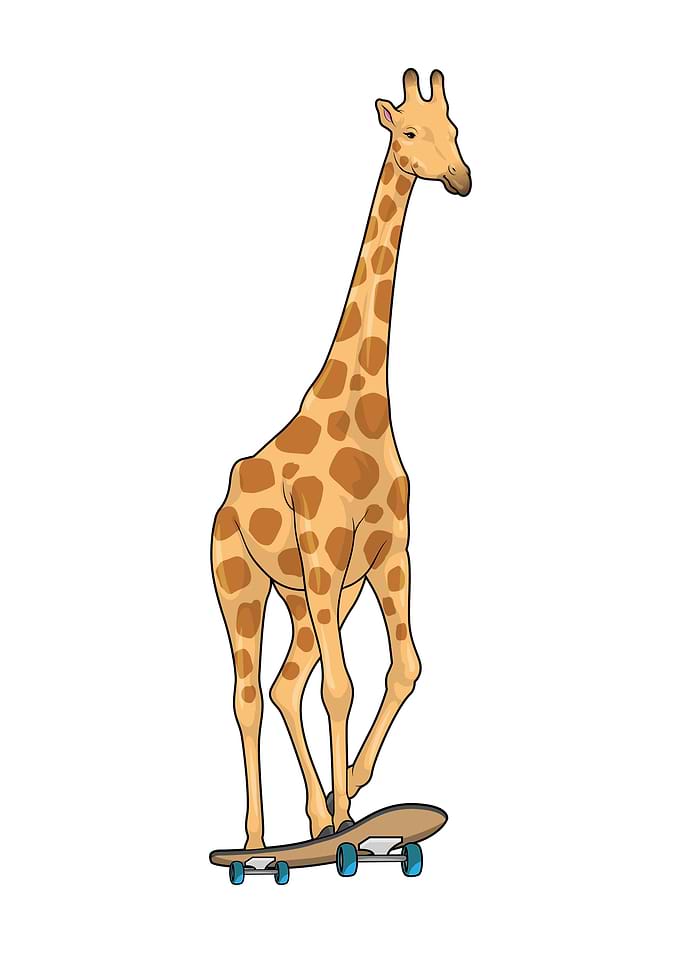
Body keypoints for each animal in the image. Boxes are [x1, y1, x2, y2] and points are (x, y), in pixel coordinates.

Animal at [212, 68, 471, 849]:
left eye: (456, 130)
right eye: (410, 132)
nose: (460, 179)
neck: (364, 408)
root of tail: (223, 501)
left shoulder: (388, 554)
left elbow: (403, 666)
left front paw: (349, 791)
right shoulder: (326, 554)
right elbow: (341, 684)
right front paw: (348, 813)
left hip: (307, 596)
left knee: (282, 683)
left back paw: (316, 817)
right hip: (242, 584)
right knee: (247, 693)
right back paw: (258, 842)